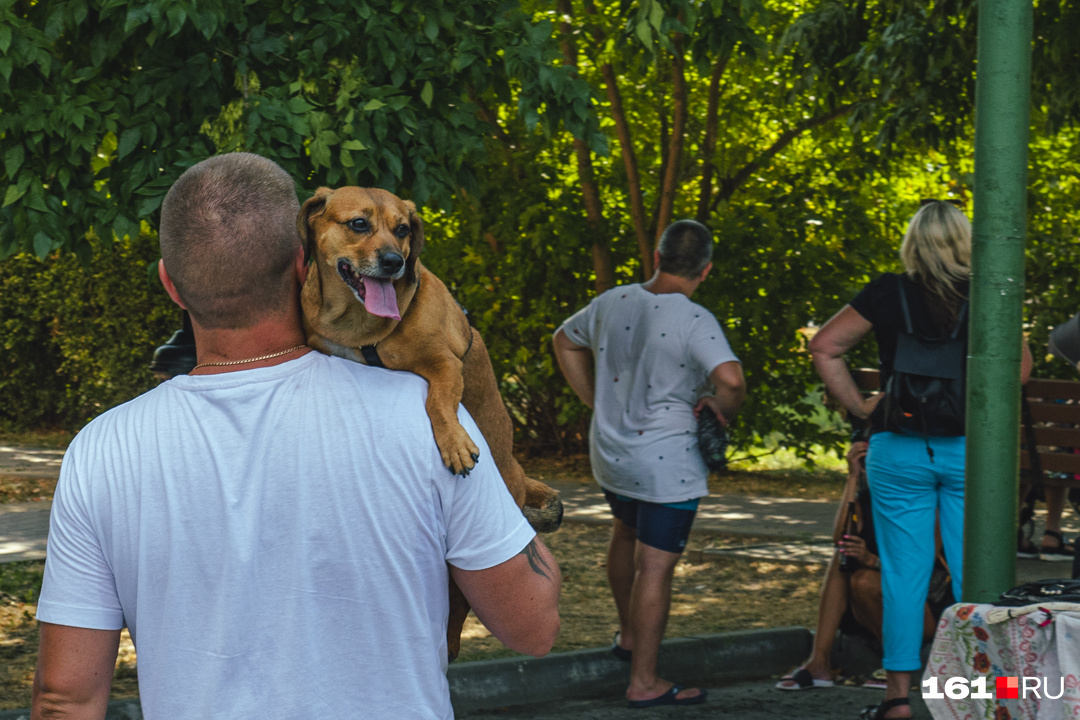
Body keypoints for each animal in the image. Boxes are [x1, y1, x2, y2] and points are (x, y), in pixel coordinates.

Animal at [298, 188, 561, 660]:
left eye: (403, 229)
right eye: (359, 224)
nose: (393, 262)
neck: (359, 329)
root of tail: (516, 472)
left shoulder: (444, 365)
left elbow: (437, 402)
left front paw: (454, 443)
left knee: (457, 607)